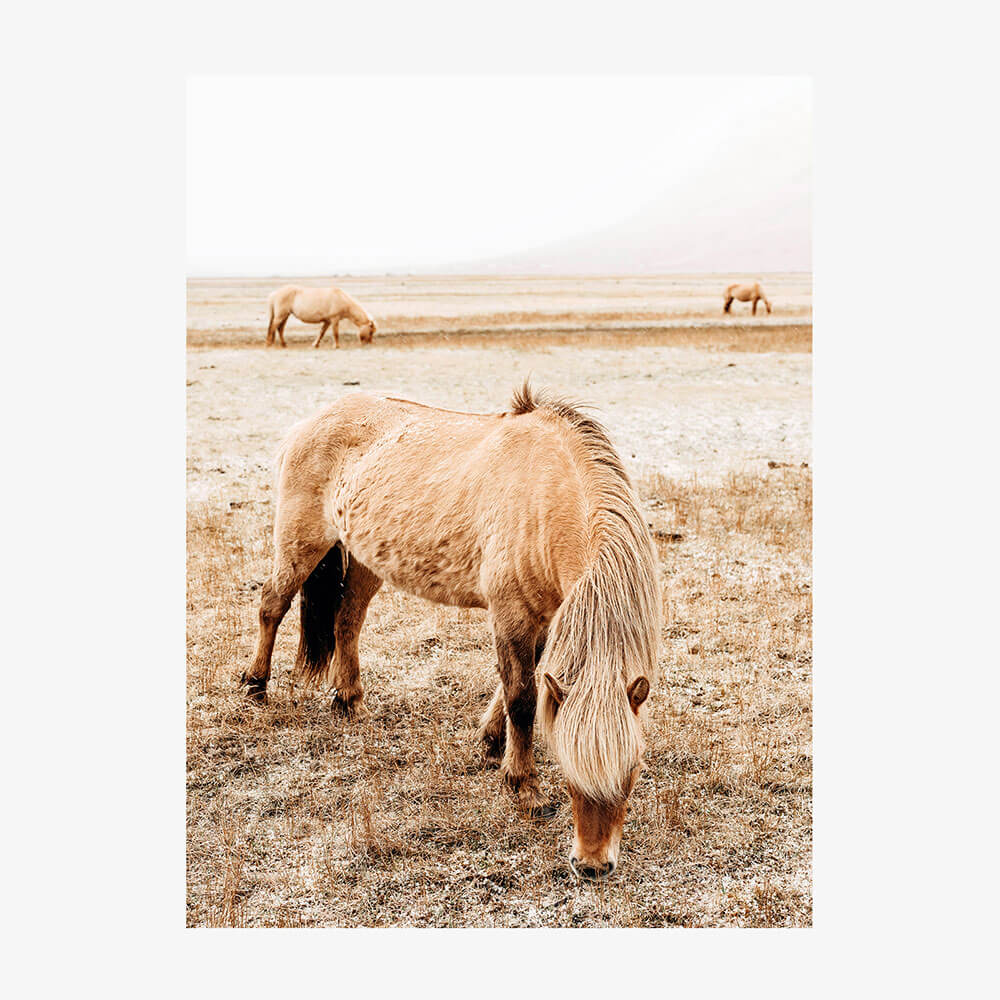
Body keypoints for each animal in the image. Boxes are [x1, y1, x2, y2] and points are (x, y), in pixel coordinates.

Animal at [240, 382, 661, 880]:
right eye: (568, 764)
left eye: (633, 769)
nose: (593, 864)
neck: (545, 494)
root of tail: (313, 421)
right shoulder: (511, 614)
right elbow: (521, 697)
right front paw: (524, 788)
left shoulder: (544, 615)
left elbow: (520, 684)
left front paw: (492, 741)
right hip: (301, 542)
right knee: (273, 604)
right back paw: (256, 685)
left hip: (363, 560)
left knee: (347, 622)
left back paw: (350, 702)